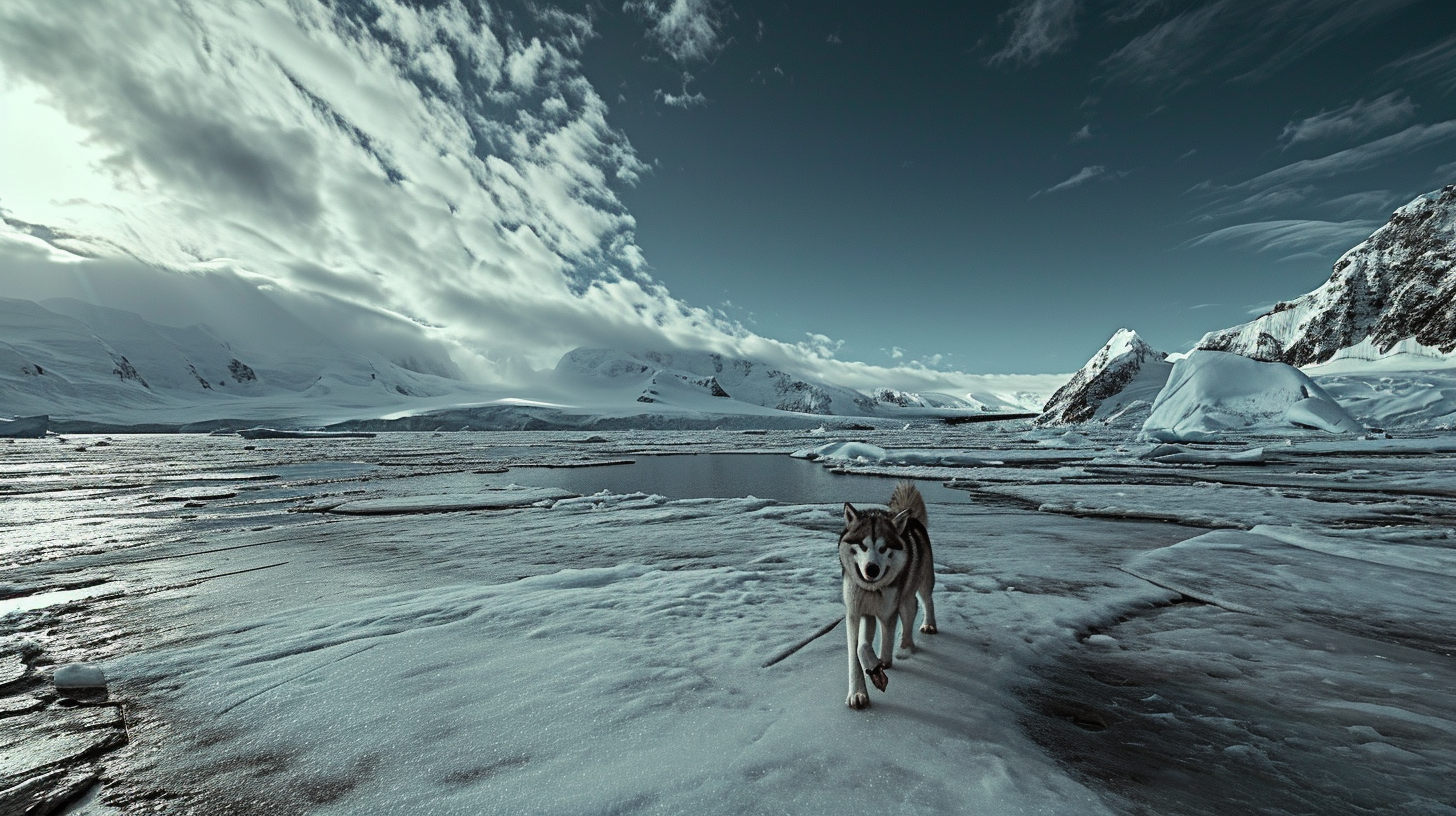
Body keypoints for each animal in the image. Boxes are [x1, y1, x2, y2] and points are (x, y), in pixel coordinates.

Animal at [838, 477, 937, 708]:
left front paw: (883, 662)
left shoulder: (886, 612)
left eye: (883, 549)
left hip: (922, 583)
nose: (872, 569)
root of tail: (909, 519)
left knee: (923, 602)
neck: (873, 590)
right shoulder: (857, 612)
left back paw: (917, 635)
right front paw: (859, 691)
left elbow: (884, 639)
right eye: (862, 545)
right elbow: (858, 648)